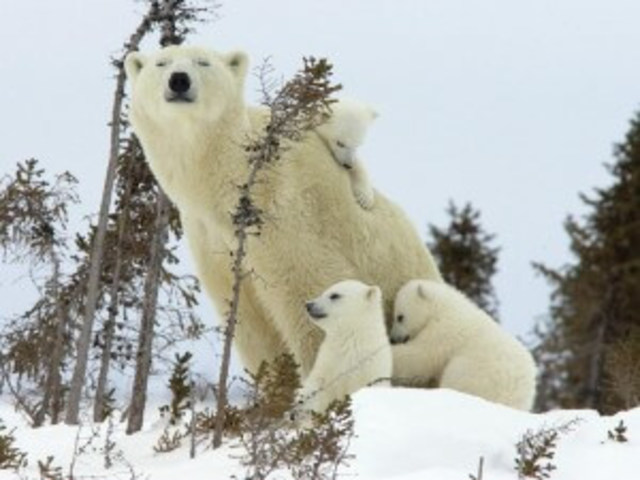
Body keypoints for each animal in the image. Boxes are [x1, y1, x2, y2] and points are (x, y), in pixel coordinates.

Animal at [124, 45, 442, 378]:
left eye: (203, 62)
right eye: (161, 63)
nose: (179, 80)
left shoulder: (285, 212)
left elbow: (308, 292)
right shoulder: (211, 237)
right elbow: (251, 323)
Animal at [297, 279, 392, 414]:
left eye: (334, 295)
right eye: (324, 291)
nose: (308, 305)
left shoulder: (370, 368)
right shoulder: (328, 361)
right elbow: (317, 383)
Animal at [390, 279, 537, 410]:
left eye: (400, 317)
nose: (393, 338)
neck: (444, 307)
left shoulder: (444, 330)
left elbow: (421, 357)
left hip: (475, 373)